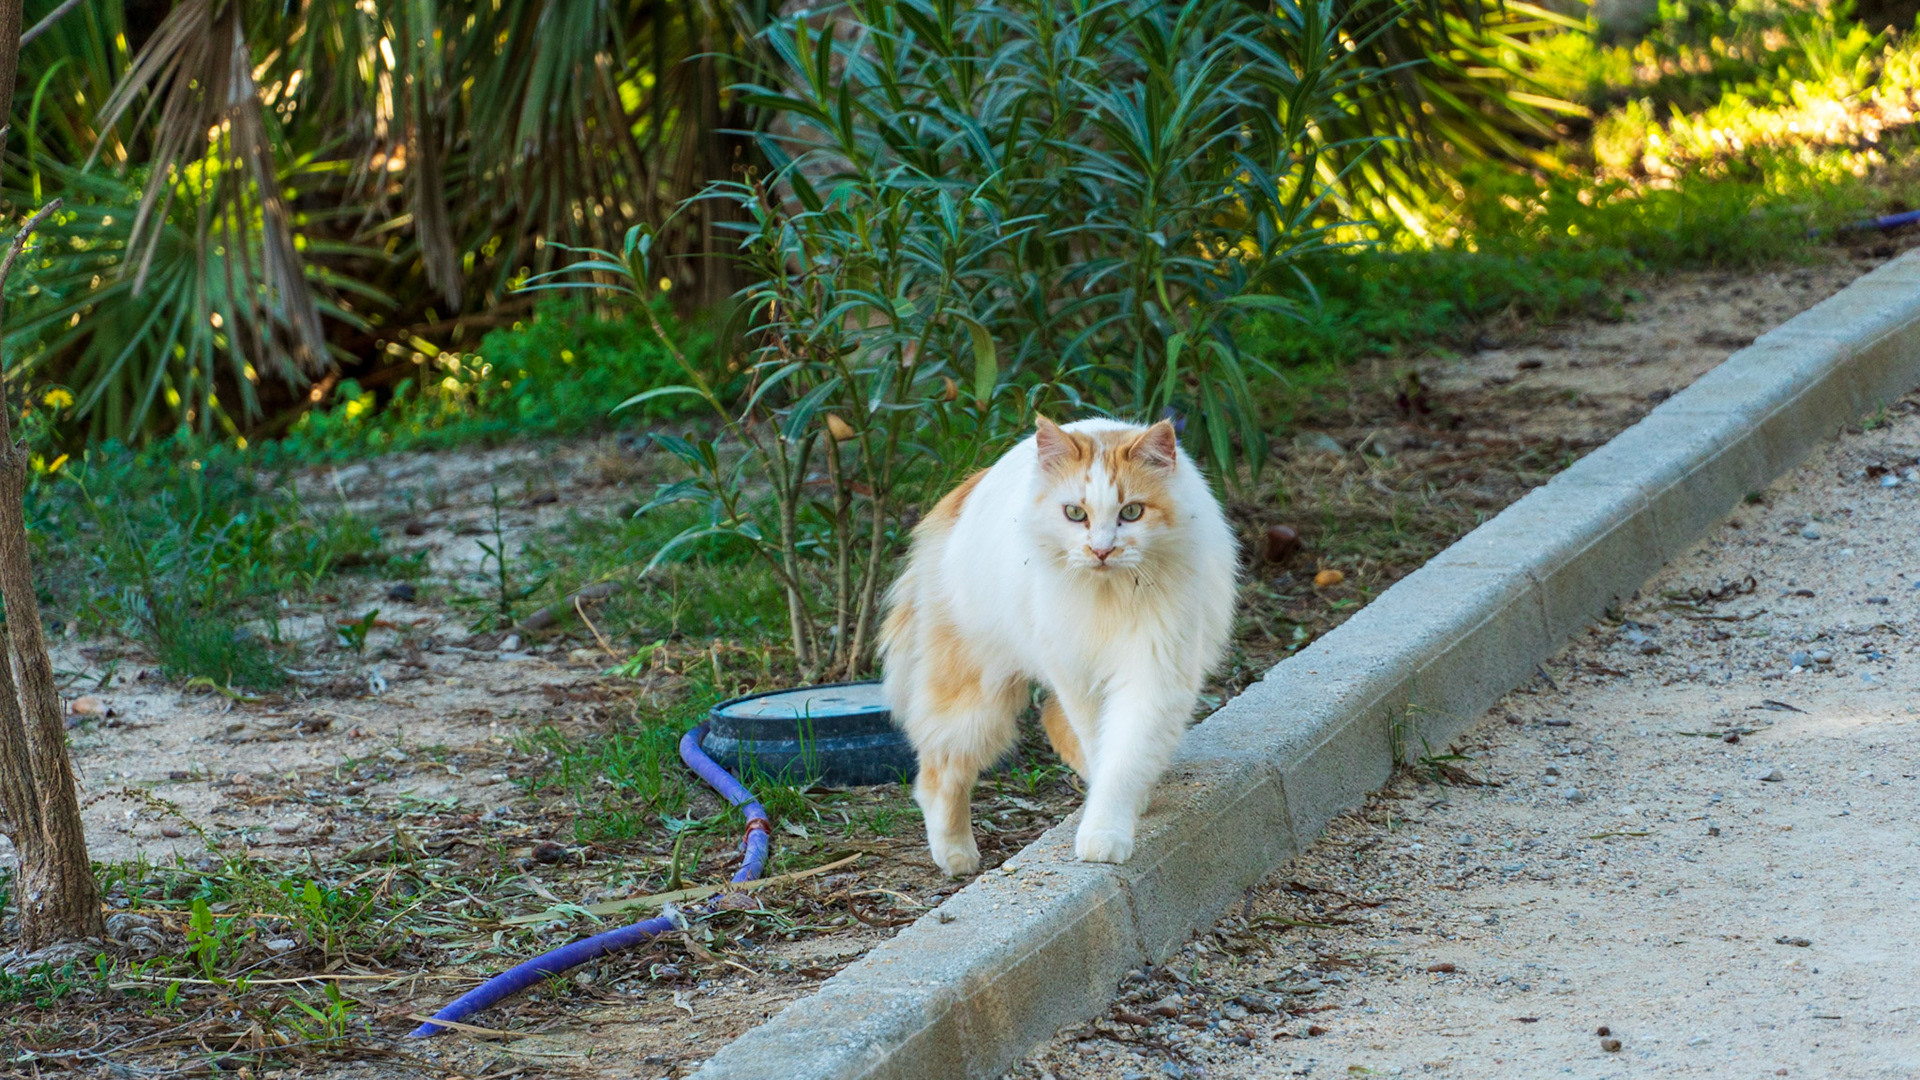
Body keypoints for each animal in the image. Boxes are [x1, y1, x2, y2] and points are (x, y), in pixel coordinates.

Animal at [880, 416, 1238, 875]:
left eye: (1132, 512)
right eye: (1075, 513)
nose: (1101, 550)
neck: (1107, 595)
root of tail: (965, 491)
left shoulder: (1150, 674)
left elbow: (1124, 756)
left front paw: (1107, 826)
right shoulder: (1078, 680)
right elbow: (1104, 749)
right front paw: (1106, 830)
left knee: (1050, 725)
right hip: (978, 694)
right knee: (938, 773)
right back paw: (955, 855)